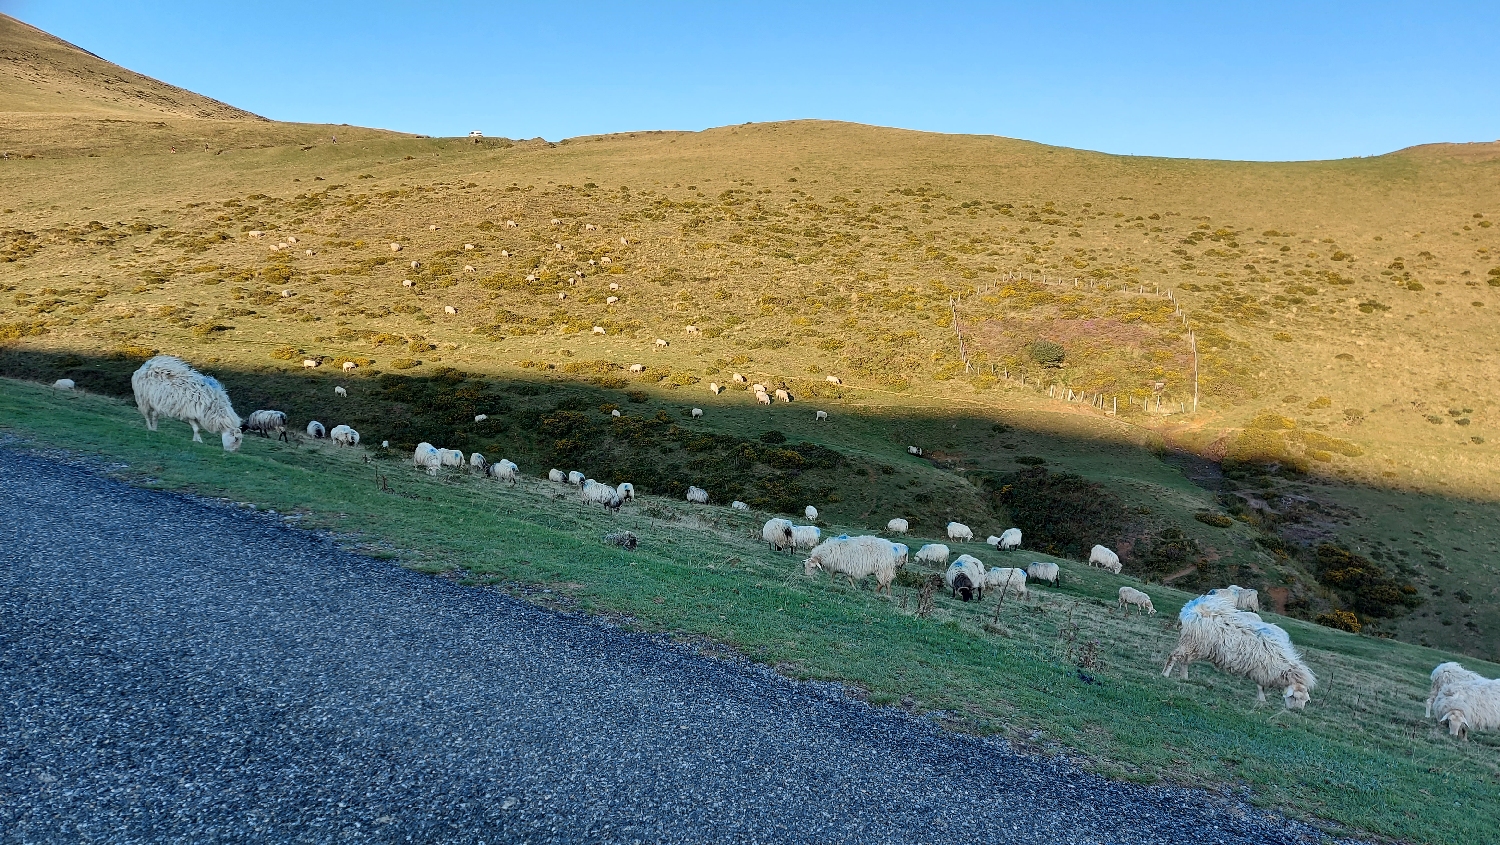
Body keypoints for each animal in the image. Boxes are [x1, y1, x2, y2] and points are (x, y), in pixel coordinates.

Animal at [1158, 594, 1314, 714]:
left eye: (1305, 700)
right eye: (1294, 697)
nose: (1297, 711)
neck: (1282, 663)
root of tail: (1190, 608)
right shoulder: (1261, 669)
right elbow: (1260, 686)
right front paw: (1262, 699)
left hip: (1196, 645)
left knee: (1184, 660)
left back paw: (1184, 678)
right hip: (1192, 642)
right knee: (1174, 656)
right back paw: (1165, 674)